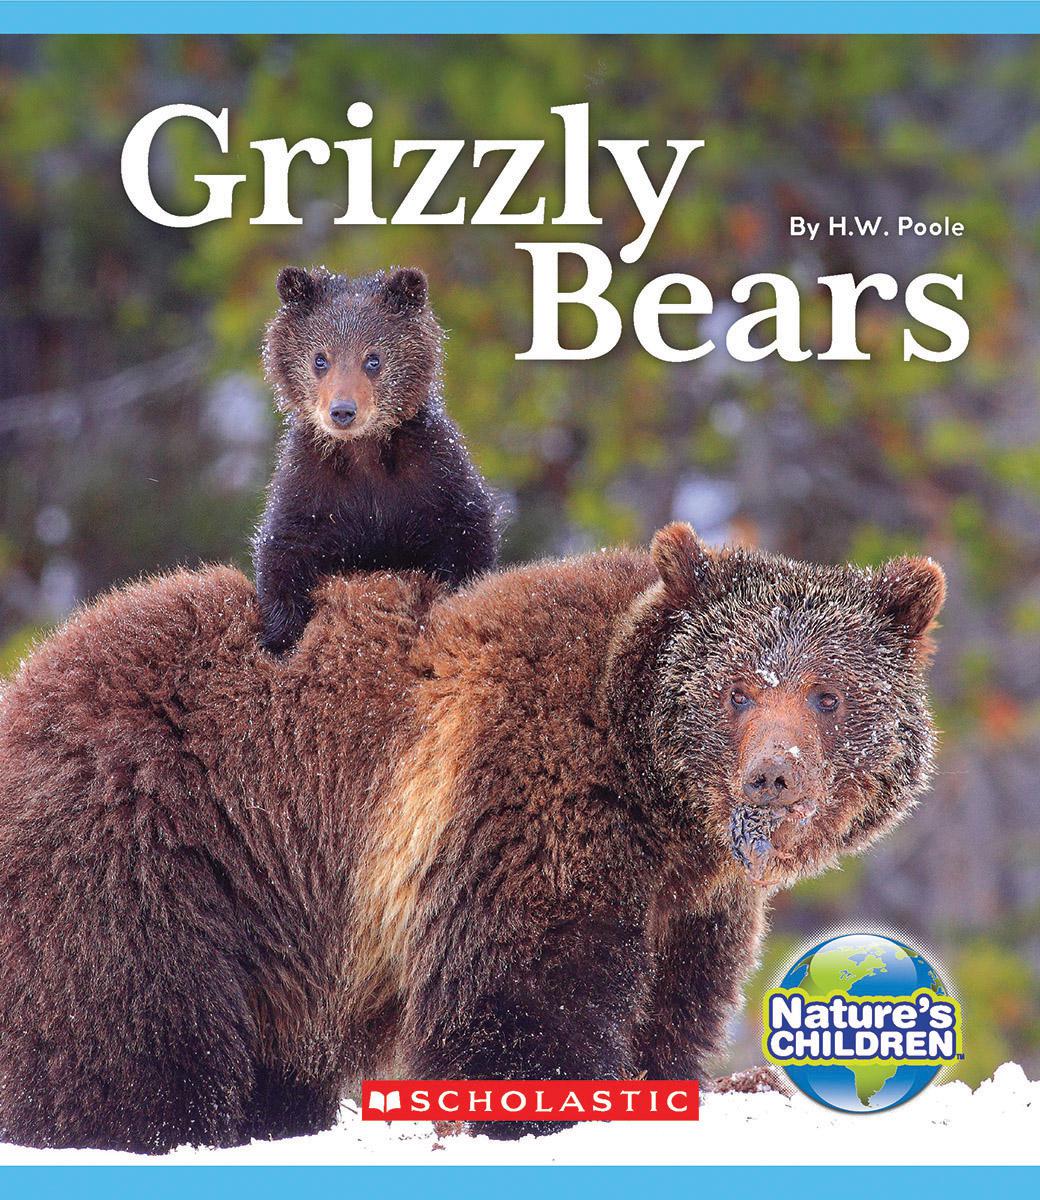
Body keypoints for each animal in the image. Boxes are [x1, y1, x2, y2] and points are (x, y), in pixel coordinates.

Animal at [0, 524, 945, 1152]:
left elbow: (670, 1008)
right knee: (124, 1028)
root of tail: (33, 675)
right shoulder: (529, 795)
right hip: (150, 843)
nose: (773, 776)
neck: (660, 807)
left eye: (827, 692)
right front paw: (542, 1110)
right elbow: (525, 995)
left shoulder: (692, 904)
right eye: (739, 688)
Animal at [253, 263, 499, 654]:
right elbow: (284, 549)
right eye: (320, 359)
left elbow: (466, 535)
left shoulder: (435, 474)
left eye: (373, 359)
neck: (364, 453)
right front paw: (279, 637)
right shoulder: (310, 484)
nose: (342, 411)